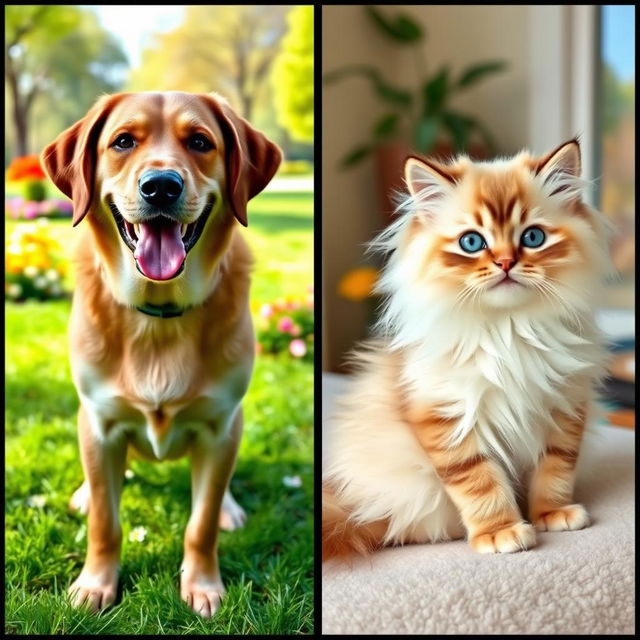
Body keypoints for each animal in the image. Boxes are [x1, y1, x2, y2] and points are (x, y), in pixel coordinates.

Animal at [40, 92, 280, 616]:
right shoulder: (100, 423)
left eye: (200, 142)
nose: (161, 187)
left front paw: (203, 584)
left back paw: (230, 507)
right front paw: (95, 583)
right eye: (122, 141)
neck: (159, 315)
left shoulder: (219, 427)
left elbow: (200, 524)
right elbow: (106, 522)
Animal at [324, 138, 608, 556]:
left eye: (533, 238)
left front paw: (551, 514)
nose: (505, 262)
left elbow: (554, 472)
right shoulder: (447, 418)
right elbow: (480, 485)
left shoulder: (564, 406)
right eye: (472, 242)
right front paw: (501, 532)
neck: (510, 330)